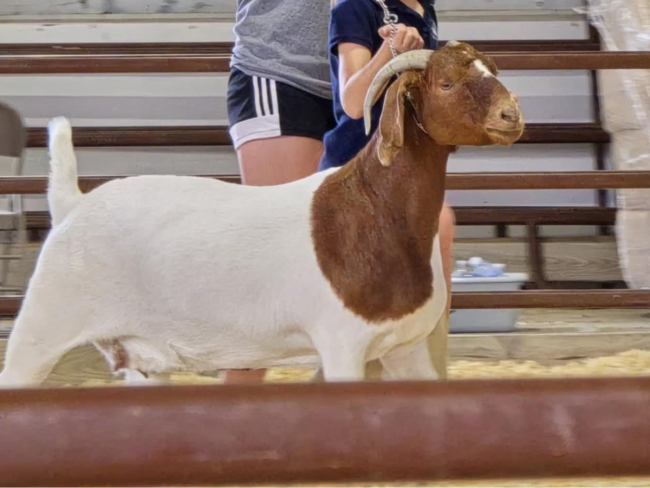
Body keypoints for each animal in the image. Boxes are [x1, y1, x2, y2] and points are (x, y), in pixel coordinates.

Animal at [0, 42, 523, 387]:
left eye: (494, 70)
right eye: (446, 82)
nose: (511, 115)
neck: (375, 209)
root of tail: (72, 203)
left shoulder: (406, 349)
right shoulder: (342, 345)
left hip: (138, 357)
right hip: (41, 327)